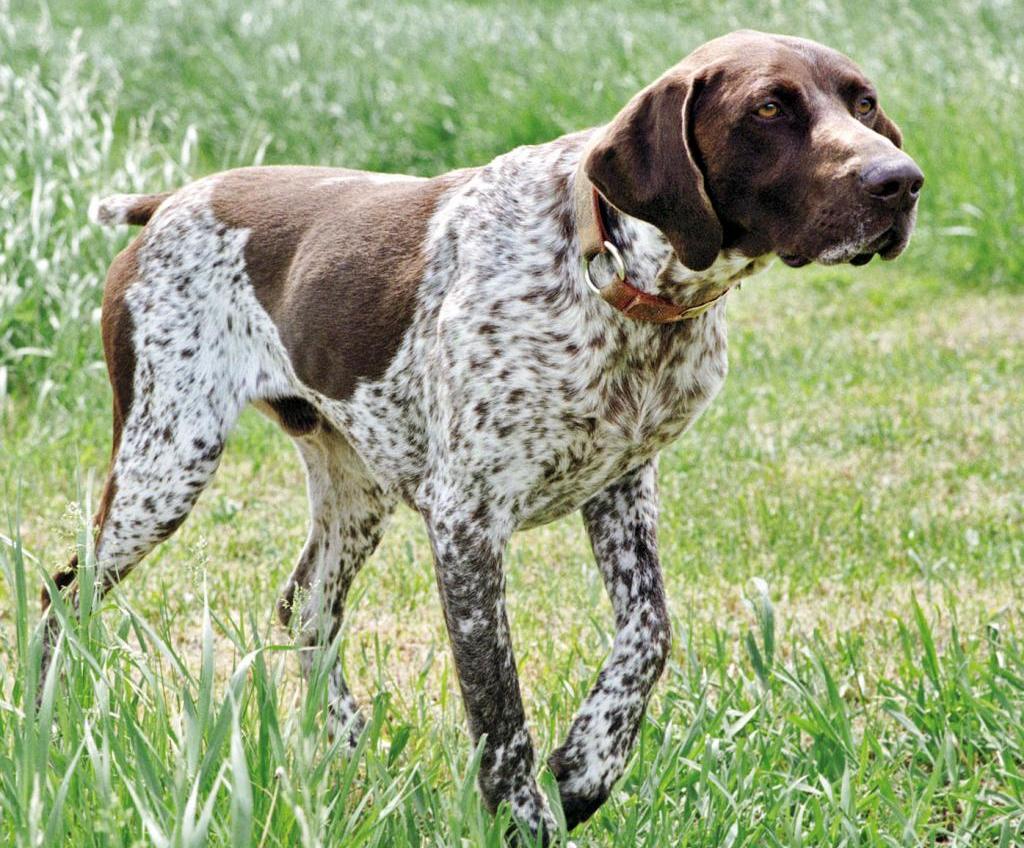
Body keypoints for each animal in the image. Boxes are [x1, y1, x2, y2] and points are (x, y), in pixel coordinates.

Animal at [44, 28, 921, 839]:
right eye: (769, 108)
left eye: (863, 102)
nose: (901, 182)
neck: (612, 278)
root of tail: (172, 199)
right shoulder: (466, 522)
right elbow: (498, 708)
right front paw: (525, 817)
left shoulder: (620, 488)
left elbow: (649, 634)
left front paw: (588, 768)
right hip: (167, 461)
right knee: (65, 595)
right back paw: (53, 725)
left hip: (353, 488)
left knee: (306, 607)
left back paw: (349, 749)